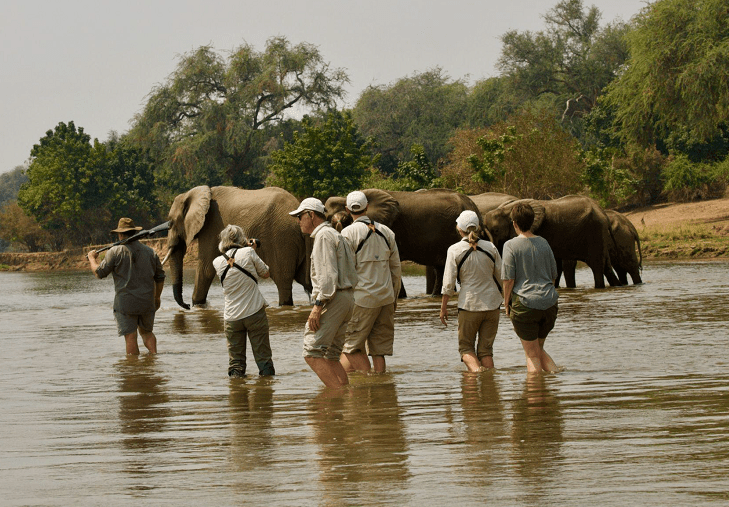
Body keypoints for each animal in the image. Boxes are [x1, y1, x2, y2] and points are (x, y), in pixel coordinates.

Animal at [164, 185, 312, 308]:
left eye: (170, 223)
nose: (187, 306)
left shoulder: (212, 227)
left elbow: (206, 268)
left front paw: (197, 305)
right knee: (305, 279)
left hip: (282, 239)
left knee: (283, 281)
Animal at [484, 195, 620, 290]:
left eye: (496, 230)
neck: (505, 209)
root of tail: (603, 213)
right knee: (606, 267)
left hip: (594, 232)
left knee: (596, 266)